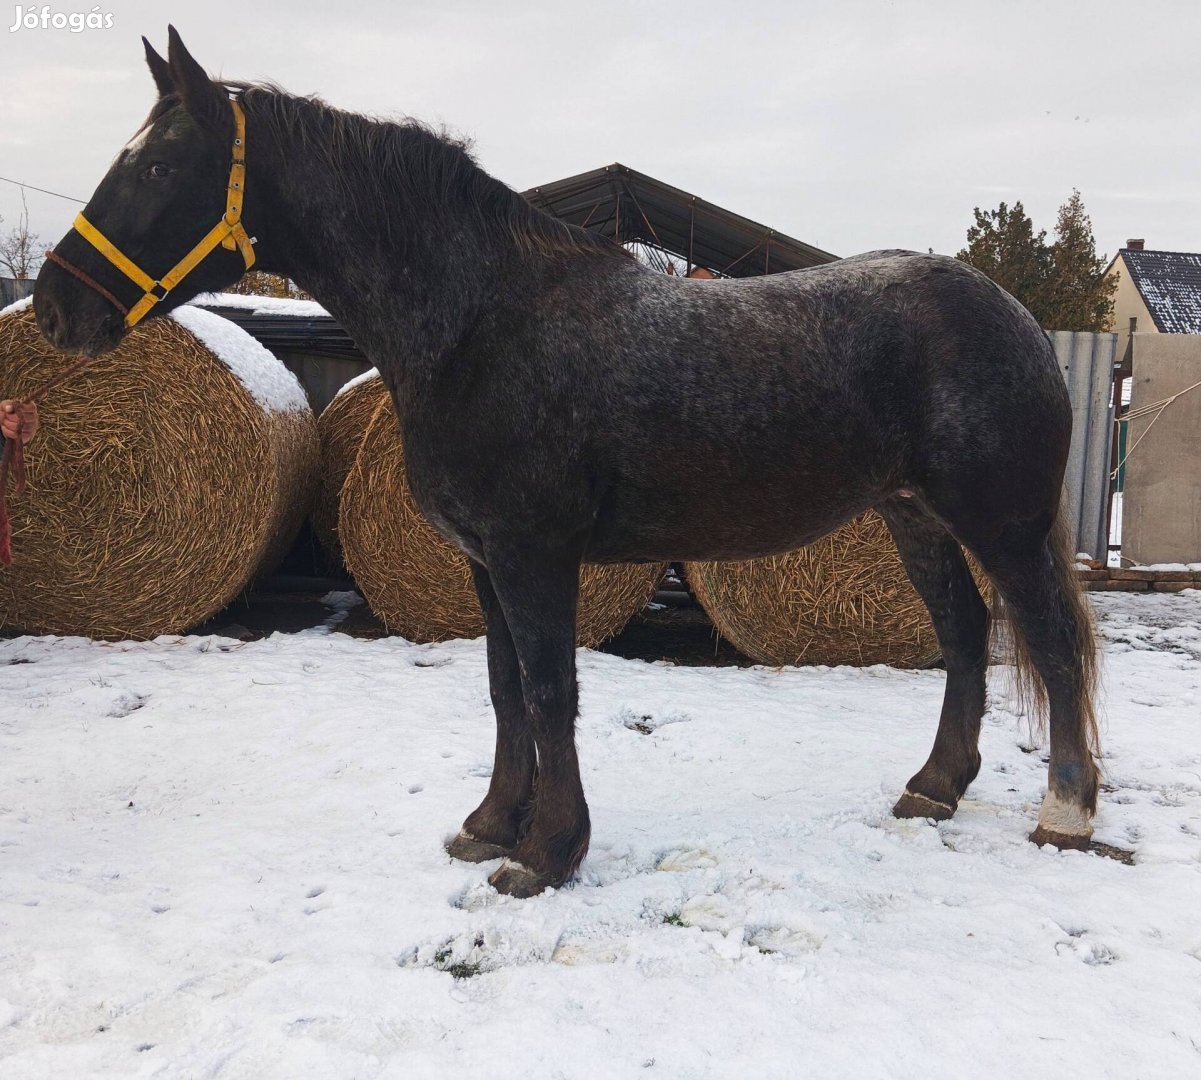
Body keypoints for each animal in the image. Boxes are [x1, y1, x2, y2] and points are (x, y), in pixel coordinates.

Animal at [30, 29, 1100, 898]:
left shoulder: (532, 552)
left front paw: (546, 854)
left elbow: (550, 691)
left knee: (1046, 641)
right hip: (911, 513)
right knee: (964, 633)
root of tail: (1013, 315)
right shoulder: (480, 560)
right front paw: (489, 824)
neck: (481, 320)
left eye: (160, 164)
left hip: (999, 521)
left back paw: (1066, 812)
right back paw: (934, 787)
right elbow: (506, 687)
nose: (52, 308)